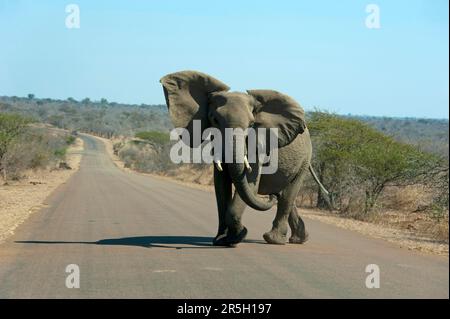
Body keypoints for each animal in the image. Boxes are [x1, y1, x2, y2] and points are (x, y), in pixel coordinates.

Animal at [160, 70, 328, 248]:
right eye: (214, 120)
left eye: (252, 124)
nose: (269, 197)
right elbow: (221, 185)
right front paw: (221, 240)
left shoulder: (258, 145)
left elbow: (249, 182)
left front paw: (237, 237)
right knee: (285, 196)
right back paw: (298, 238)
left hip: (305, 159)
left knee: (288, 195)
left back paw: (274, 239)